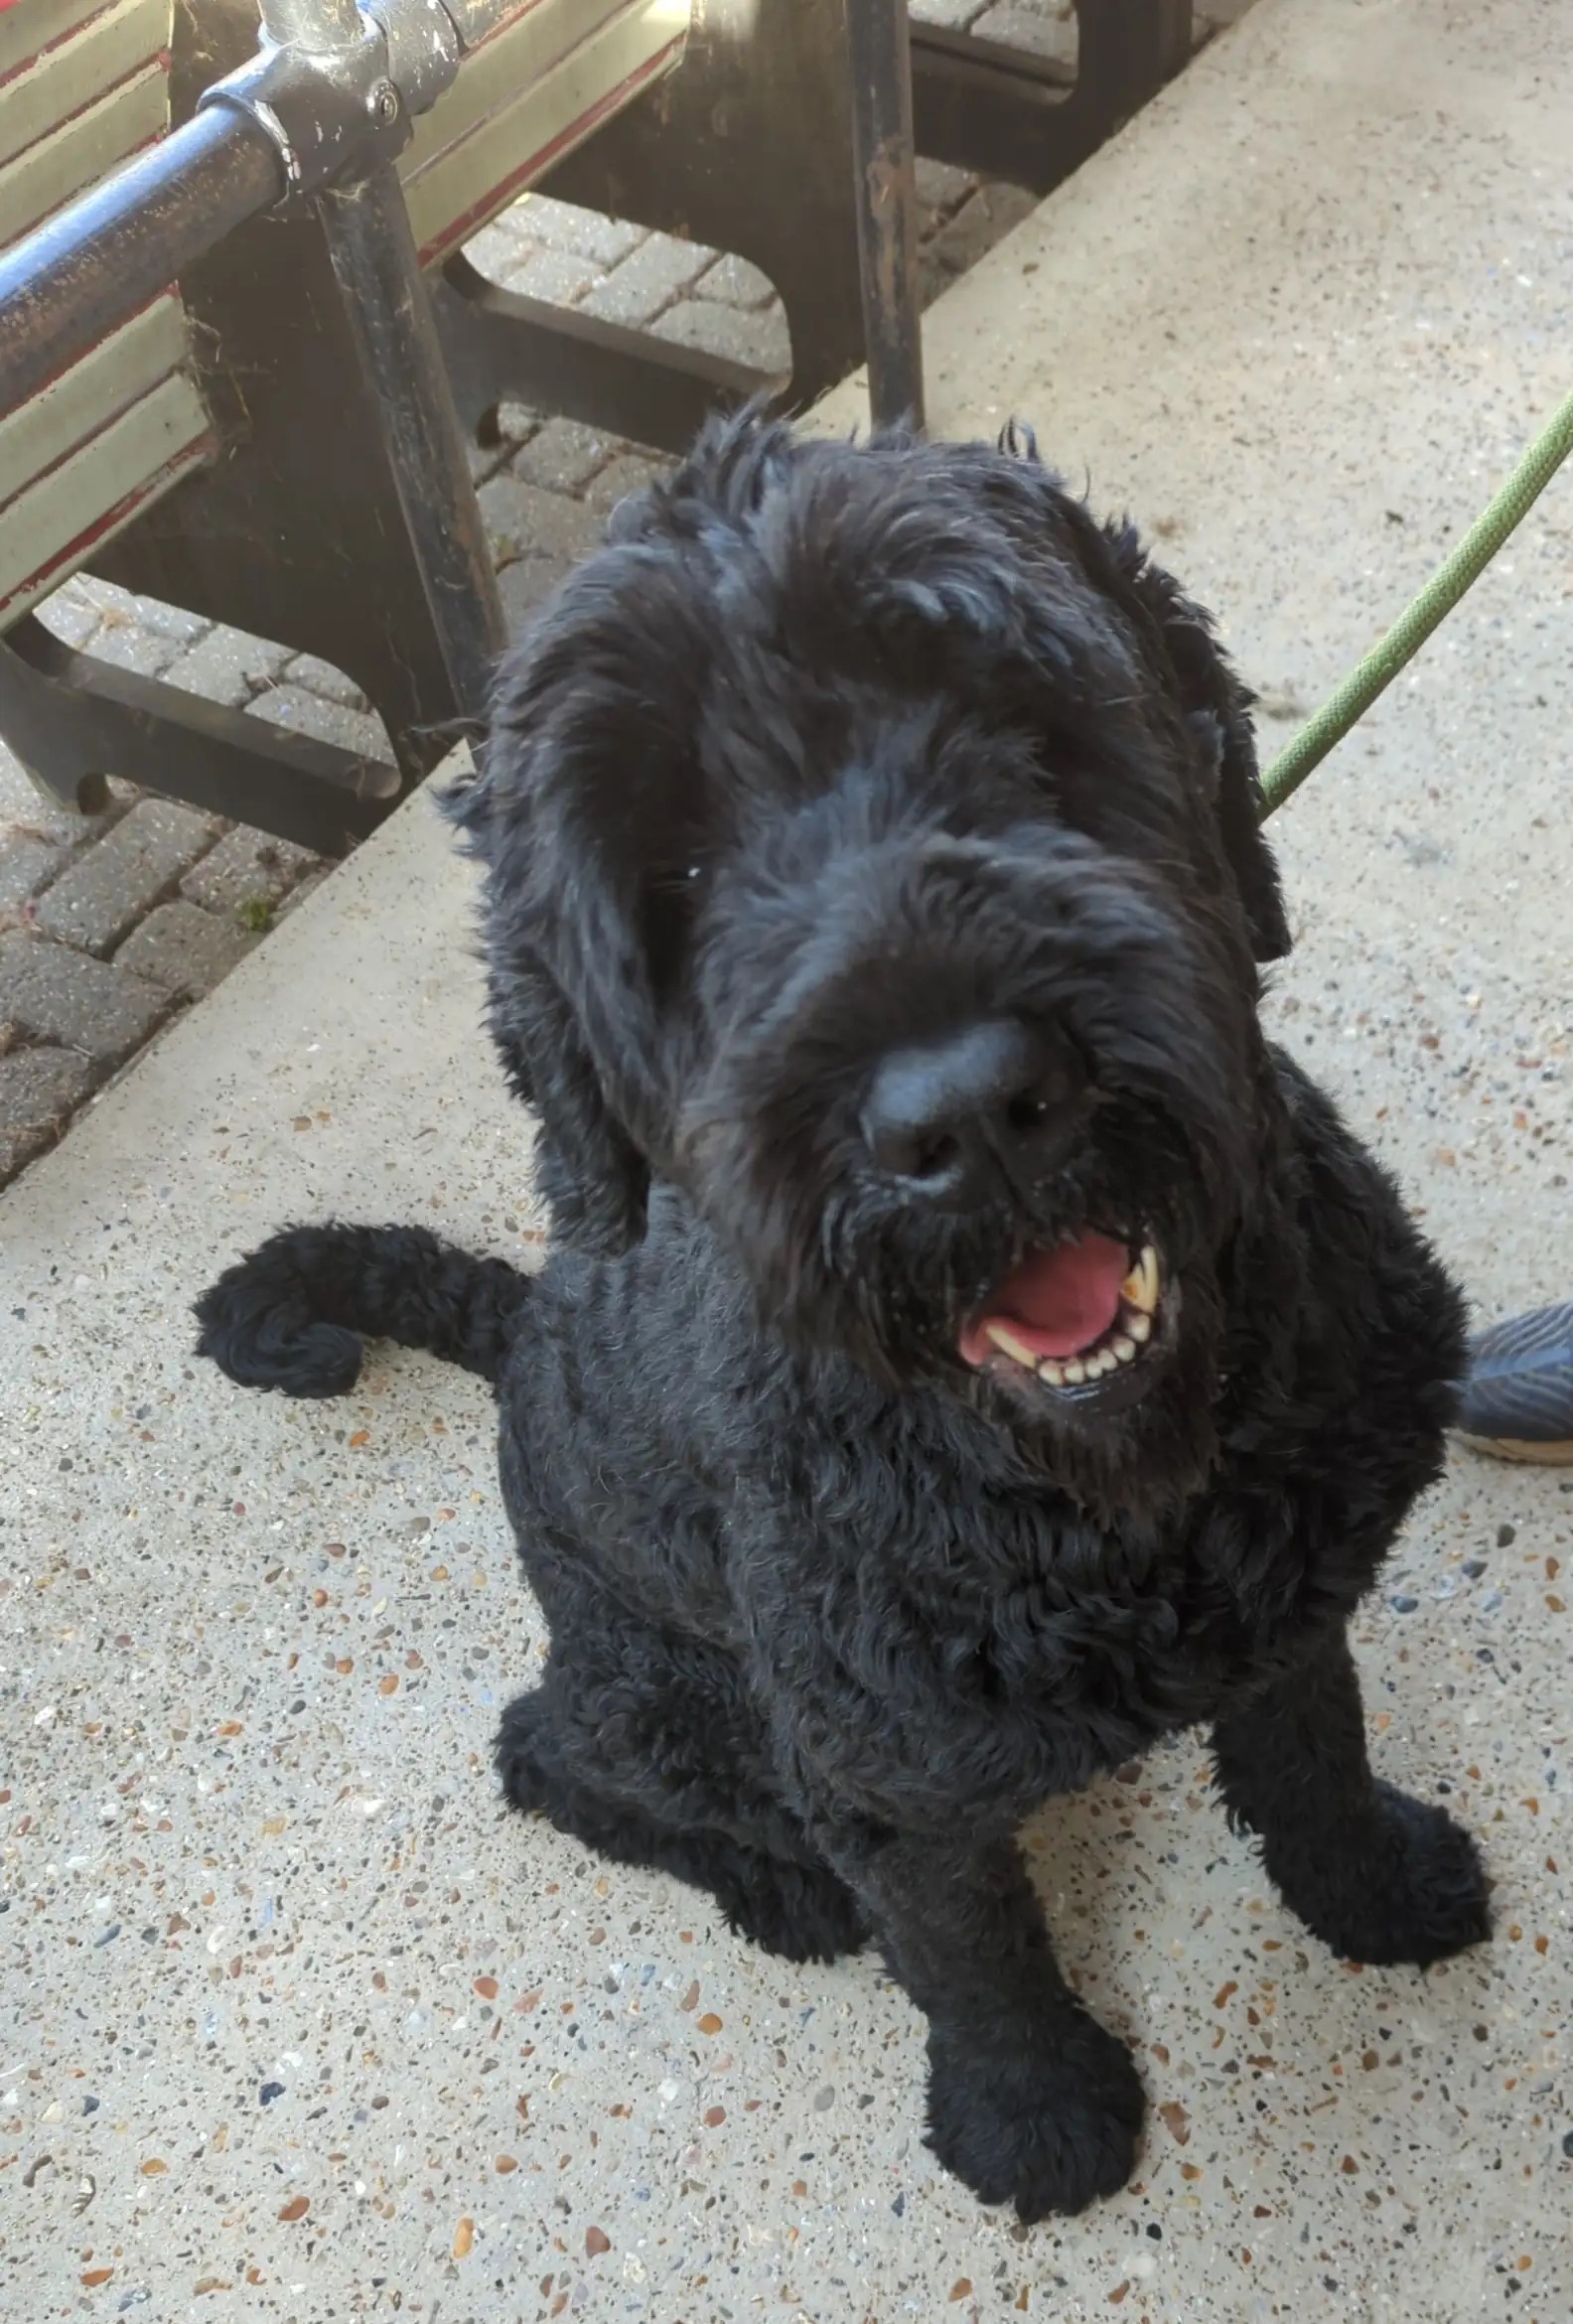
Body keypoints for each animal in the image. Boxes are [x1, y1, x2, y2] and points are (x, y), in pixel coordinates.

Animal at [196, 408, 1487, 2222]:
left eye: (1011, 719)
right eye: (669, 869)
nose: (965, 1110)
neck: (1101, 1507)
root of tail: (521, 1325)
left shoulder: (1292, 1601)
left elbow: (1311, 1755)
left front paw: (1367, 1885)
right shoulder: (876, 1780)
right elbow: (972, 1952)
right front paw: (1031, 2116)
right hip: (679, 1702)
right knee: (548, 1753)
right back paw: (772, 1888)